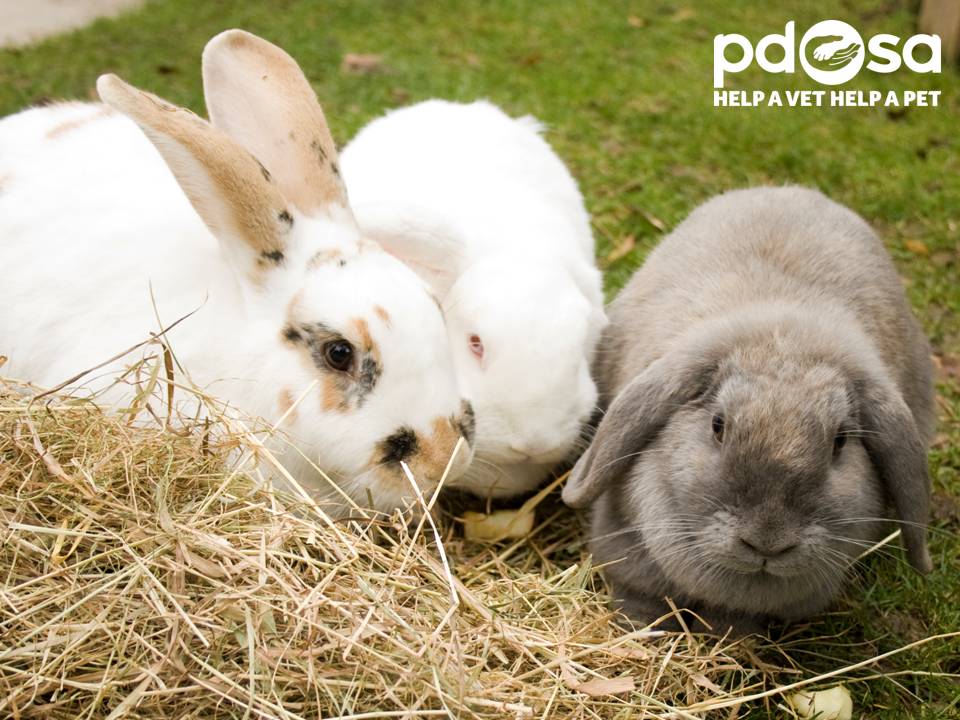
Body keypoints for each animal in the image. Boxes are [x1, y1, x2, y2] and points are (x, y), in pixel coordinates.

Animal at [562, 186, 935, 635]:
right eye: (718, 426)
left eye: (840, 442)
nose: (767, 541)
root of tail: (790, 190)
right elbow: (639, 600)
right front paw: (640, 629)